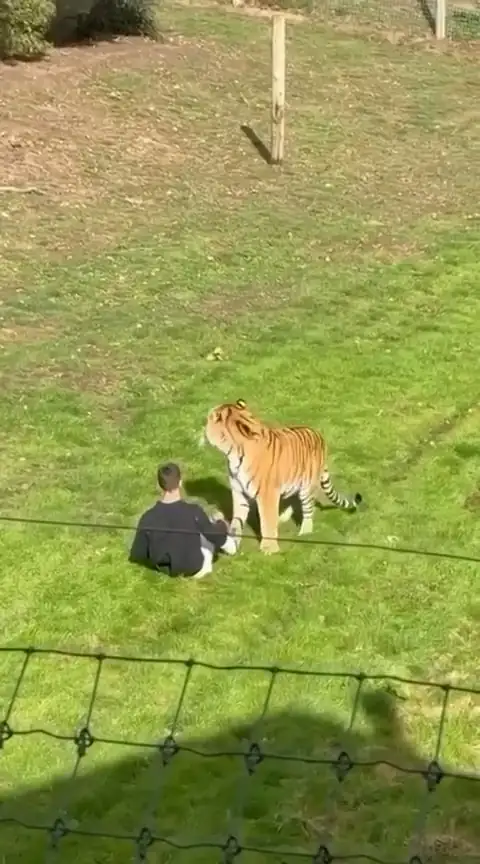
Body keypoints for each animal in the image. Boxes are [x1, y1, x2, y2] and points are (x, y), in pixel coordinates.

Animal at [200, 399, 362, 555]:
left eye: (209, 419)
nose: (203, 427)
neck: (232, 455)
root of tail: (319, 435)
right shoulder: (239, 492)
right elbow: (237, 520)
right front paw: (232, 544)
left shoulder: (267, 495)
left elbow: (266, 521)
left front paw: (269, 549)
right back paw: (282, 518)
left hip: (307, 488)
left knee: (308, 510)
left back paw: (305, 533)